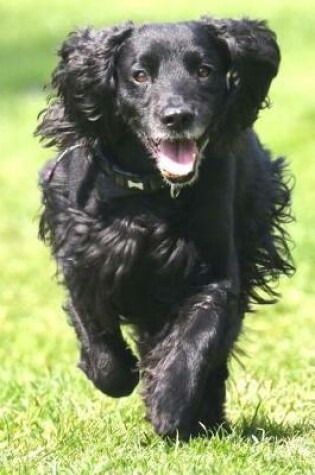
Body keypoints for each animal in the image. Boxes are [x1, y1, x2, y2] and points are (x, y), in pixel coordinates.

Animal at [37, 17, 296, 438]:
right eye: (140, 75)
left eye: (204, 70)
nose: (177, 116)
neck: (149, 192)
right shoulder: (84, 256)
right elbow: (96, 336)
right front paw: (121, 374)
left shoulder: (213, 273)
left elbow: (197, 338)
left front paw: (168, 404)